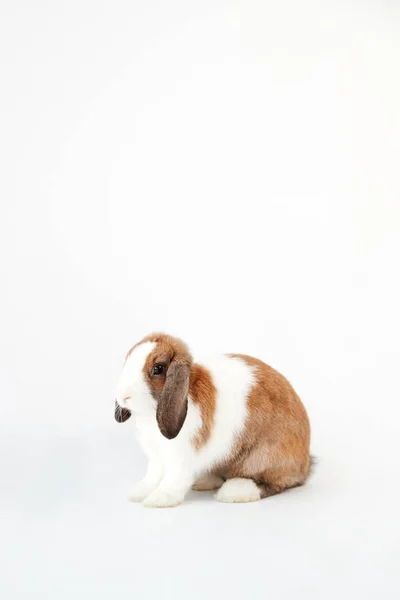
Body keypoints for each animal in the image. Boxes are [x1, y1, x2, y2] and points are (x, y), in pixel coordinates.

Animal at [114, 332, 310, 506]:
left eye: (158, 368)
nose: (123, 396)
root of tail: (305, 464)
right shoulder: (156, 457)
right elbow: (152, 476)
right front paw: (138, 493)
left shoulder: (181, 456)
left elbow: (174, 478)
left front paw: (159, 499)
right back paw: (204, 481)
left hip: (263, 458)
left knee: (274, 484)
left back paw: (234, 491)